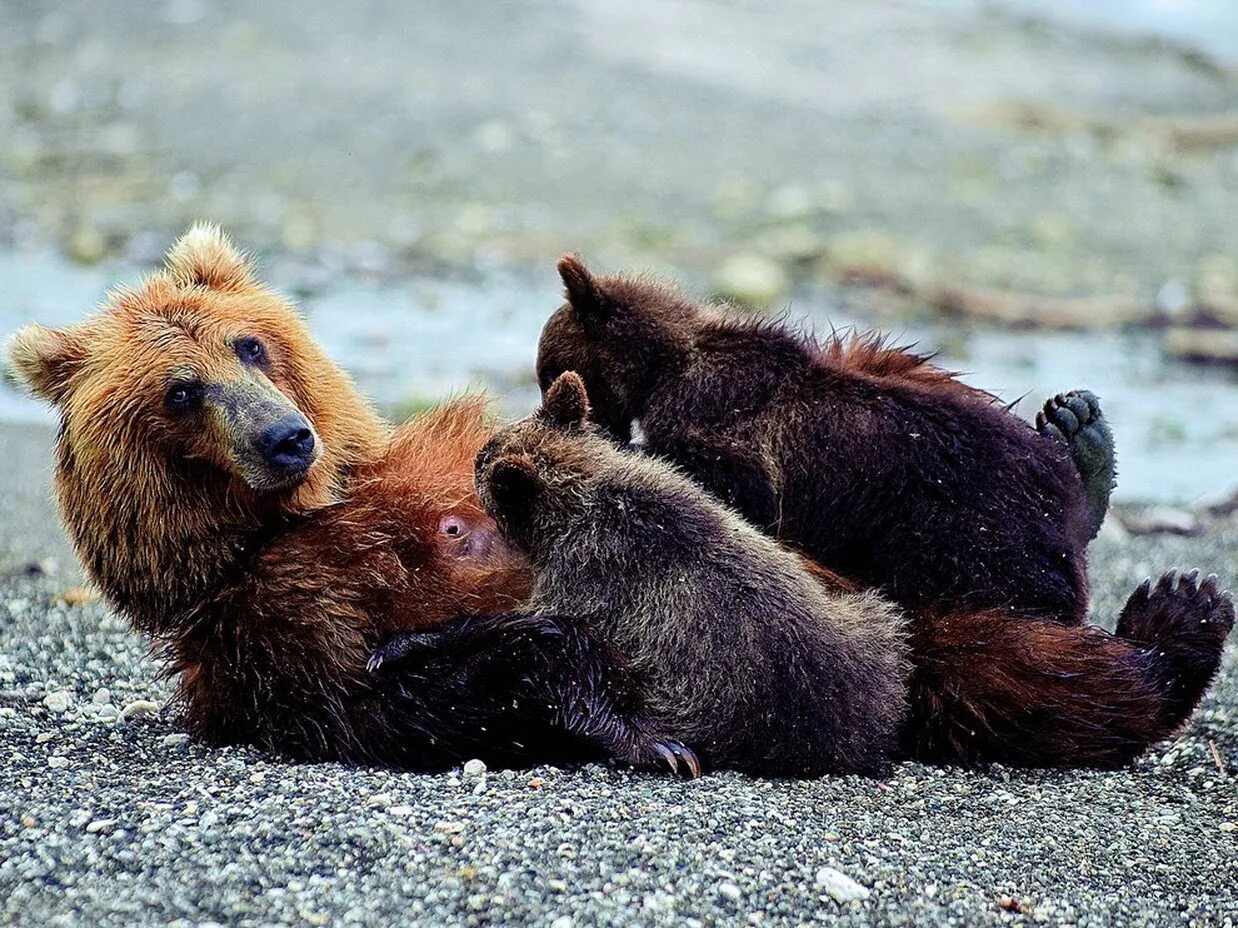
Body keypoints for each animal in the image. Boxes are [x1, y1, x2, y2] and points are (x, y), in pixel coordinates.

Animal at [7, 228, 688, 772]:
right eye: (181, 392)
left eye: (248, 345)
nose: (285, 437)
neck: (310, 505)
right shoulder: (274, 622)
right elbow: (423, 692)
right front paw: (643, 734)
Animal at [376, 373, 911, 781]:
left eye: (482, 458)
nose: (476, 457)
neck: (583, 498)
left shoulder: (583, 578)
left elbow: (526, 625)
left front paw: (401, 644)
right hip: (869, 629)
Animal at [537, 256, 1233, 772]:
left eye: (550, 367)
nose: (561, 407)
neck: (670, 362)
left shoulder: (726, 434)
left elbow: (729, 491)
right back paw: (1082, 444)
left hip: (957, 545)